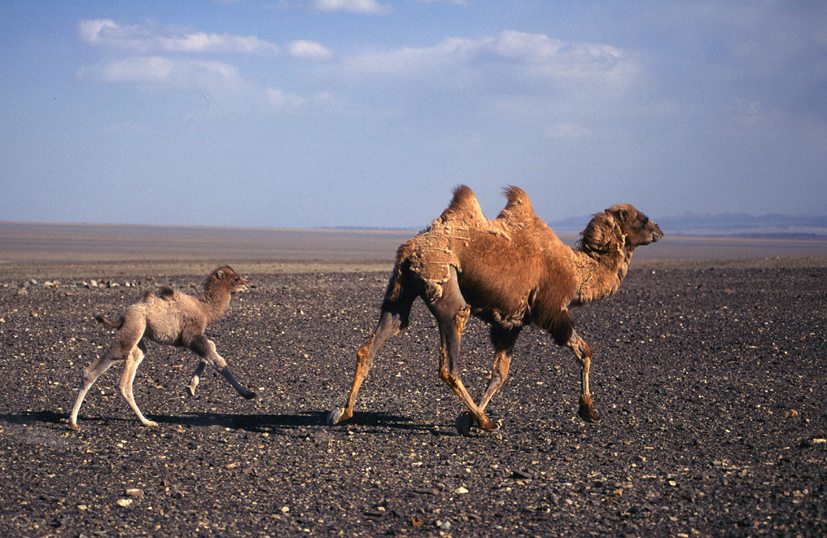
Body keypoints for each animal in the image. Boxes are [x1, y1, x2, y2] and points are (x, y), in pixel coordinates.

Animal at [69, 266, 254, 430]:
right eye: (235, 278)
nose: (247, 283)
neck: (204, 309)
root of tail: (123, 315)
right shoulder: (191, 335)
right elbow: (219, 360)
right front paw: (248, 393)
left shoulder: (192, 337)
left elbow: (212, 348)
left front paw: (191, 388)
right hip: (133, 327)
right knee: (97, 368)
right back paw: (73, 422)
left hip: (138, 335)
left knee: (129, 374)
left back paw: (146, 421)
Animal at [326, 186, 664, 434]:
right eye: (641, 218)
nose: (660, 229)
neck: (577, 271)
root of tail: (411, 249)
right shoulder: (552, 311)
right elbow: (585, 350)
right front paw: (589, 411)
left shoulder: (510, 323)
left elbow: (500, 375)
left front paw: (467, 417)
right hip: (444, 284)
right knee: (449, 362)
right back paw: (487, 423)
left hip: (400, 291)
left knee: (375, 342)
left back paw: (344, 412)